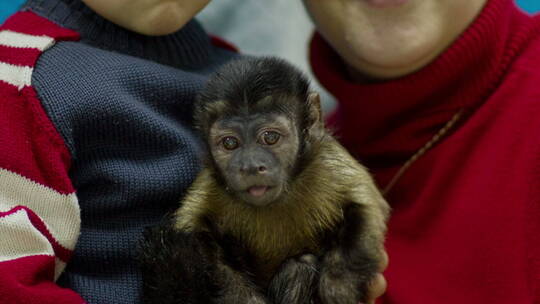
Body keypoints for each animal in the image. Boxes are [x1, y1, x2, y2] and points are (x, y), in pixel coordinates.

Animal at [139, 57, 390, 304]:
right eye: (230, 143)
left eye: (270, 137)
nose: (251, 166)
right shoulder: (207, 193)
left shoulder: (326, 162)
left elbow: (365, 204)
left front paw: (339, 286)